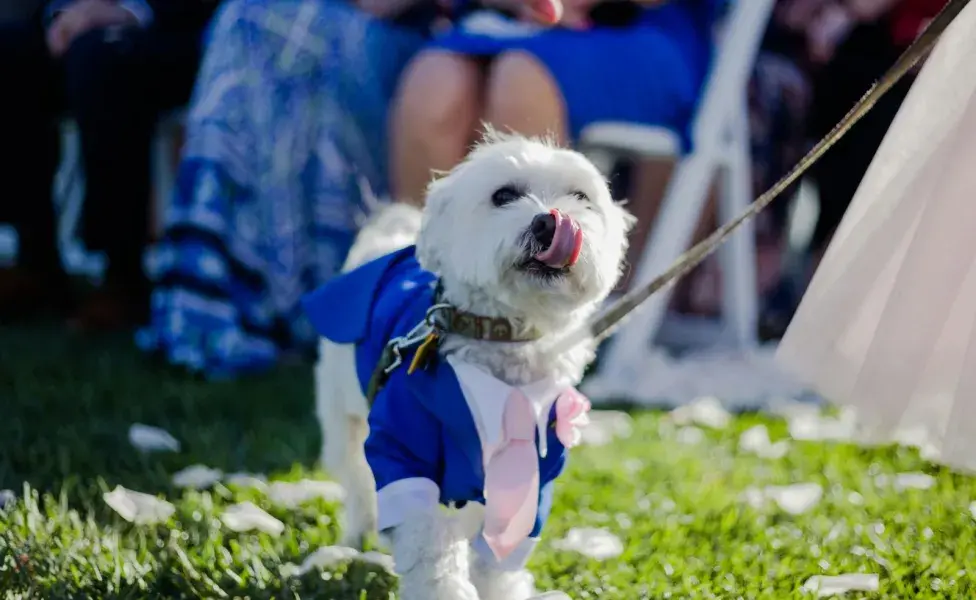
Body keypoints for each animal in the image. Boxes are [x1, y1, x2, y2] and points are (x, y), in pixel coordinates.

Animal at [308, 134, 636, 600]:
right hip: (341, 413)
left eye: (580, 197)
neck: (501, 334)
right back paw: (355, 538)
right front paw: (442, 588)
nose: (548, 222)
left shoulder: (534, 473)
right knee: (356, 479)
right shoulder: (403, 448)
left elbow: (500, 552)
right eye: (503, 196)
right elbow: (427, 539)